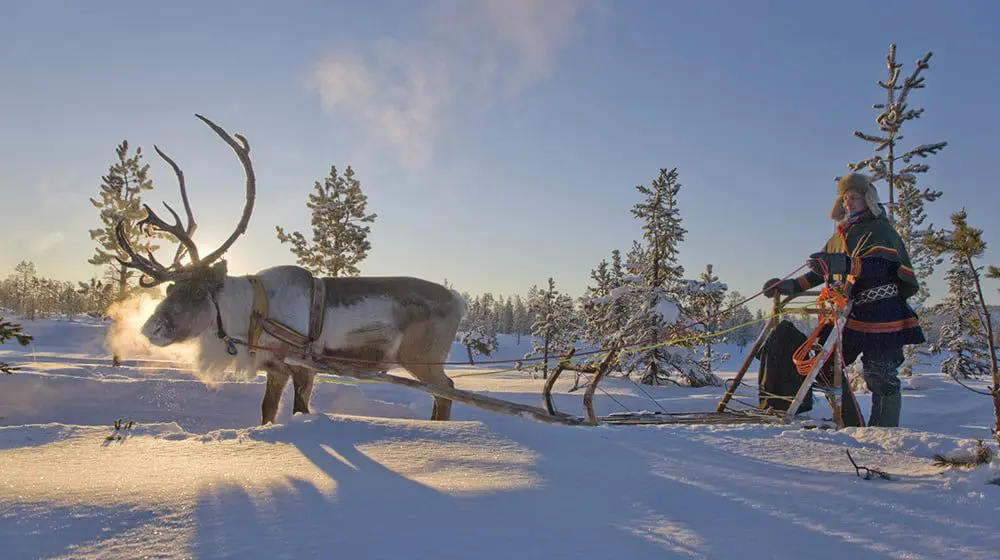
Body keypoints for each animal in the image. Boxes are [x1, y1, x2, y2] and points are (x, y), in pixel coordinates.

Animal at [116, 114, 467, 425]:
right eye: (170, 288)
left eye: (199, 292)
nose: (150, 329)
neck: (254, 310)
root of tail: (458, 299)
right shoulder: (276, 368)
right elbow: (267, 411)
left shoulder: (303, 367)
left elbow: (300, 409)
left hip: (422, 359)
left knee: (447, 390)